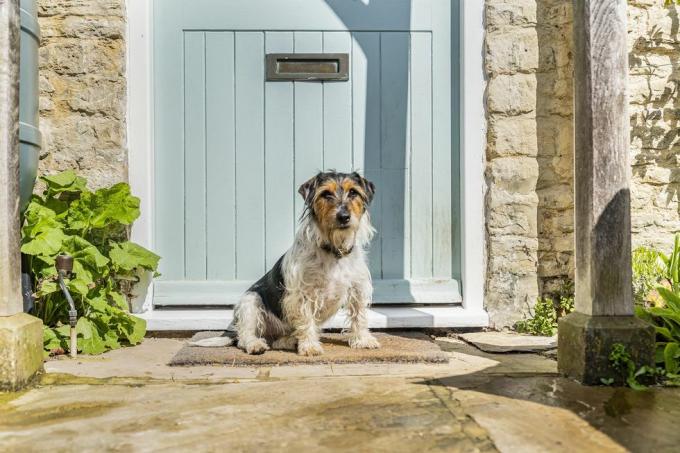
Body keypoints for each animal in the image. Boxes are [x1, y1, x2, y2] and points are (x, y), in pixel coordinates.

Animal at [193, 170, 378, 354]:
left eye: (353, 192)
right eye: (326, 194)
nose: (344, 217)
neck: (334, 251)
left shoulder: (357, 289)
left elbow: (359, 315)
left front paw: (363, 339)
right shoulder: (302, 294)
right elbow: (306, 320)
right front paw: (309, 346)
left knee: (277, 341)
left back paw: (288, 341)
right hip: (250, 302)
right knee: (244, 336)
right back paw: (256, 345)